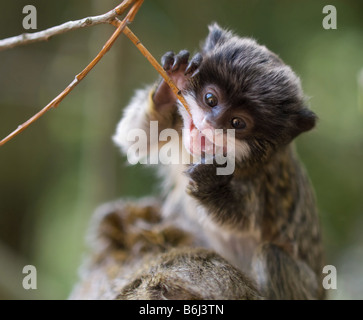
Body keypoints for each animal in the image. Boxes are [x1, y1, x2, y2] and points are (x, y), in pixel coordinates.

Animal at [72, 23, 326, 300]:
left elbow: (243, 222)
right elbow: (133, 137)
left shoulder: (260, 177)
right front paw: (168, 88)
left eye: (237, 123)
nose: (210, 122)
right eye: (211, 99)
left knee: (272, 256)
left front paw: (211, 184)